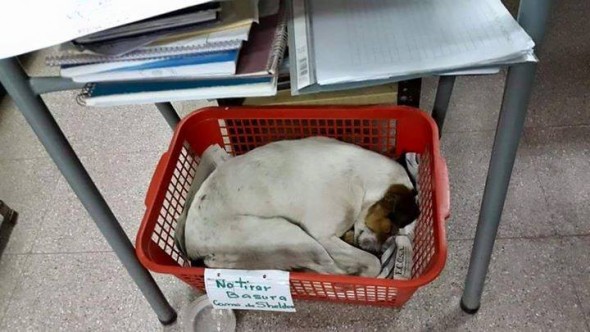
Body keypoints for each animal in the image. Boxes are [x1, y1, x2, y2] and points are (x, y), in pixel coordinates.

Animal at [177, 137, 420, 278]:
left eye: (393, 235)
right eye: (389, 229)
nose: (380, 250)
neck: (362, 177)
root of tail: (192, 245)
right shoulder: (323, 235)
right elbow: (372, 264)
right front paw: (368, 265)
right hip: (294, 236)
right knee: (329, 269)